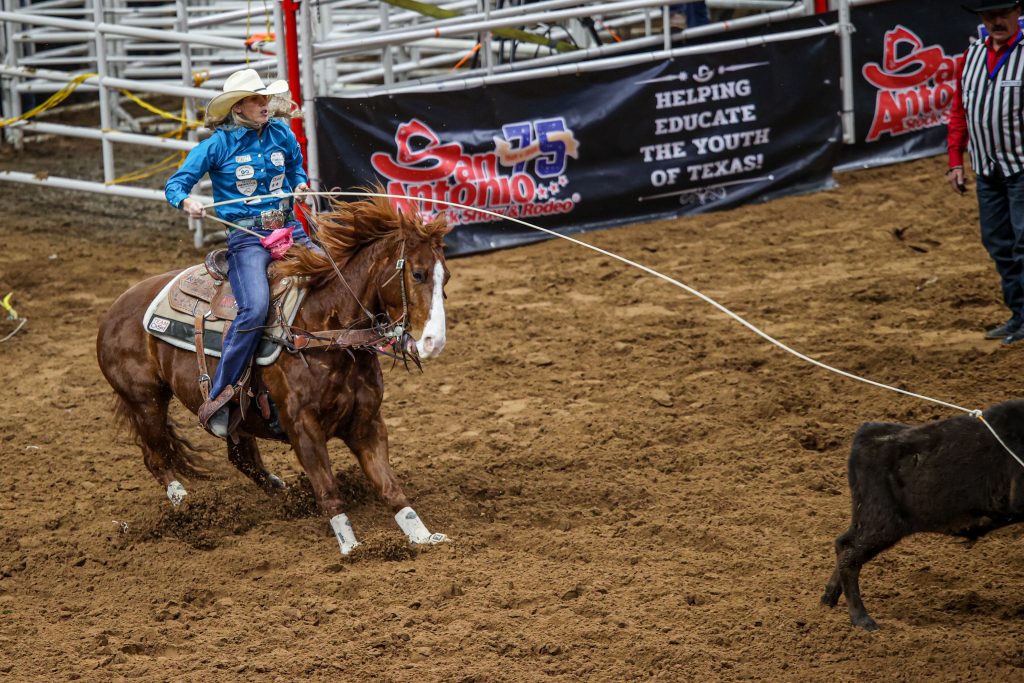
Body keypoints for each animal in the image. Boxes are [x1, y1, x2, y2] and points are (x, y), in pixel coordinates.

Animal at [97, 196, 450, 557]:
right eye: (418, 273)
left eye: (446, 277)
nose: (434, 341)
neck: (322, 330)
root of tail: (116, 308)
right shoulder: (303, 427)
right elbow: (328, 490)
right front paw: (351, 546)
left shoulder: (367, 423)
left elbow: (389, 486)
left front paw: (423, 535)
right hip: (146, 401)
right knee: (156, 456)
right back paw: (185, 503)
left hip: (234, 417)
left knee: (243, 458)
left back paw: (284, 494)